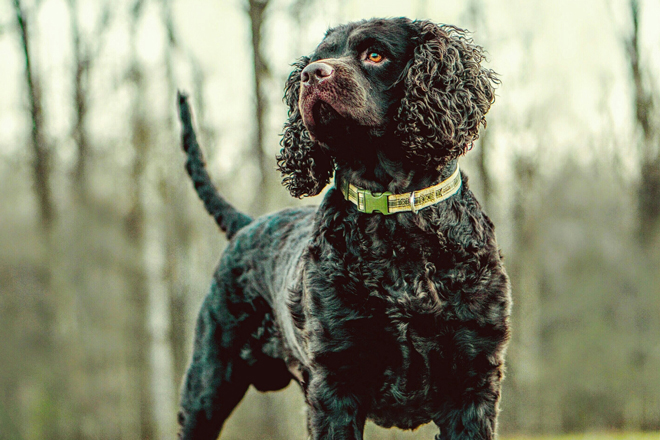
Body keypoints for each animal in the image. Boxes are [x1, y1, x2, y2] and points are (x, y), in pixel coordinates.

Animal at [175, 17, 510, 440]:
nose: (310, 75)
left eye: (375, 54)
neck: (395, 219)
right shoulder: (336, 382)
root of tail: (247, 225)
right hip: (207, 385)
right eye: (318, 58)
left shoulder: (472, 381)